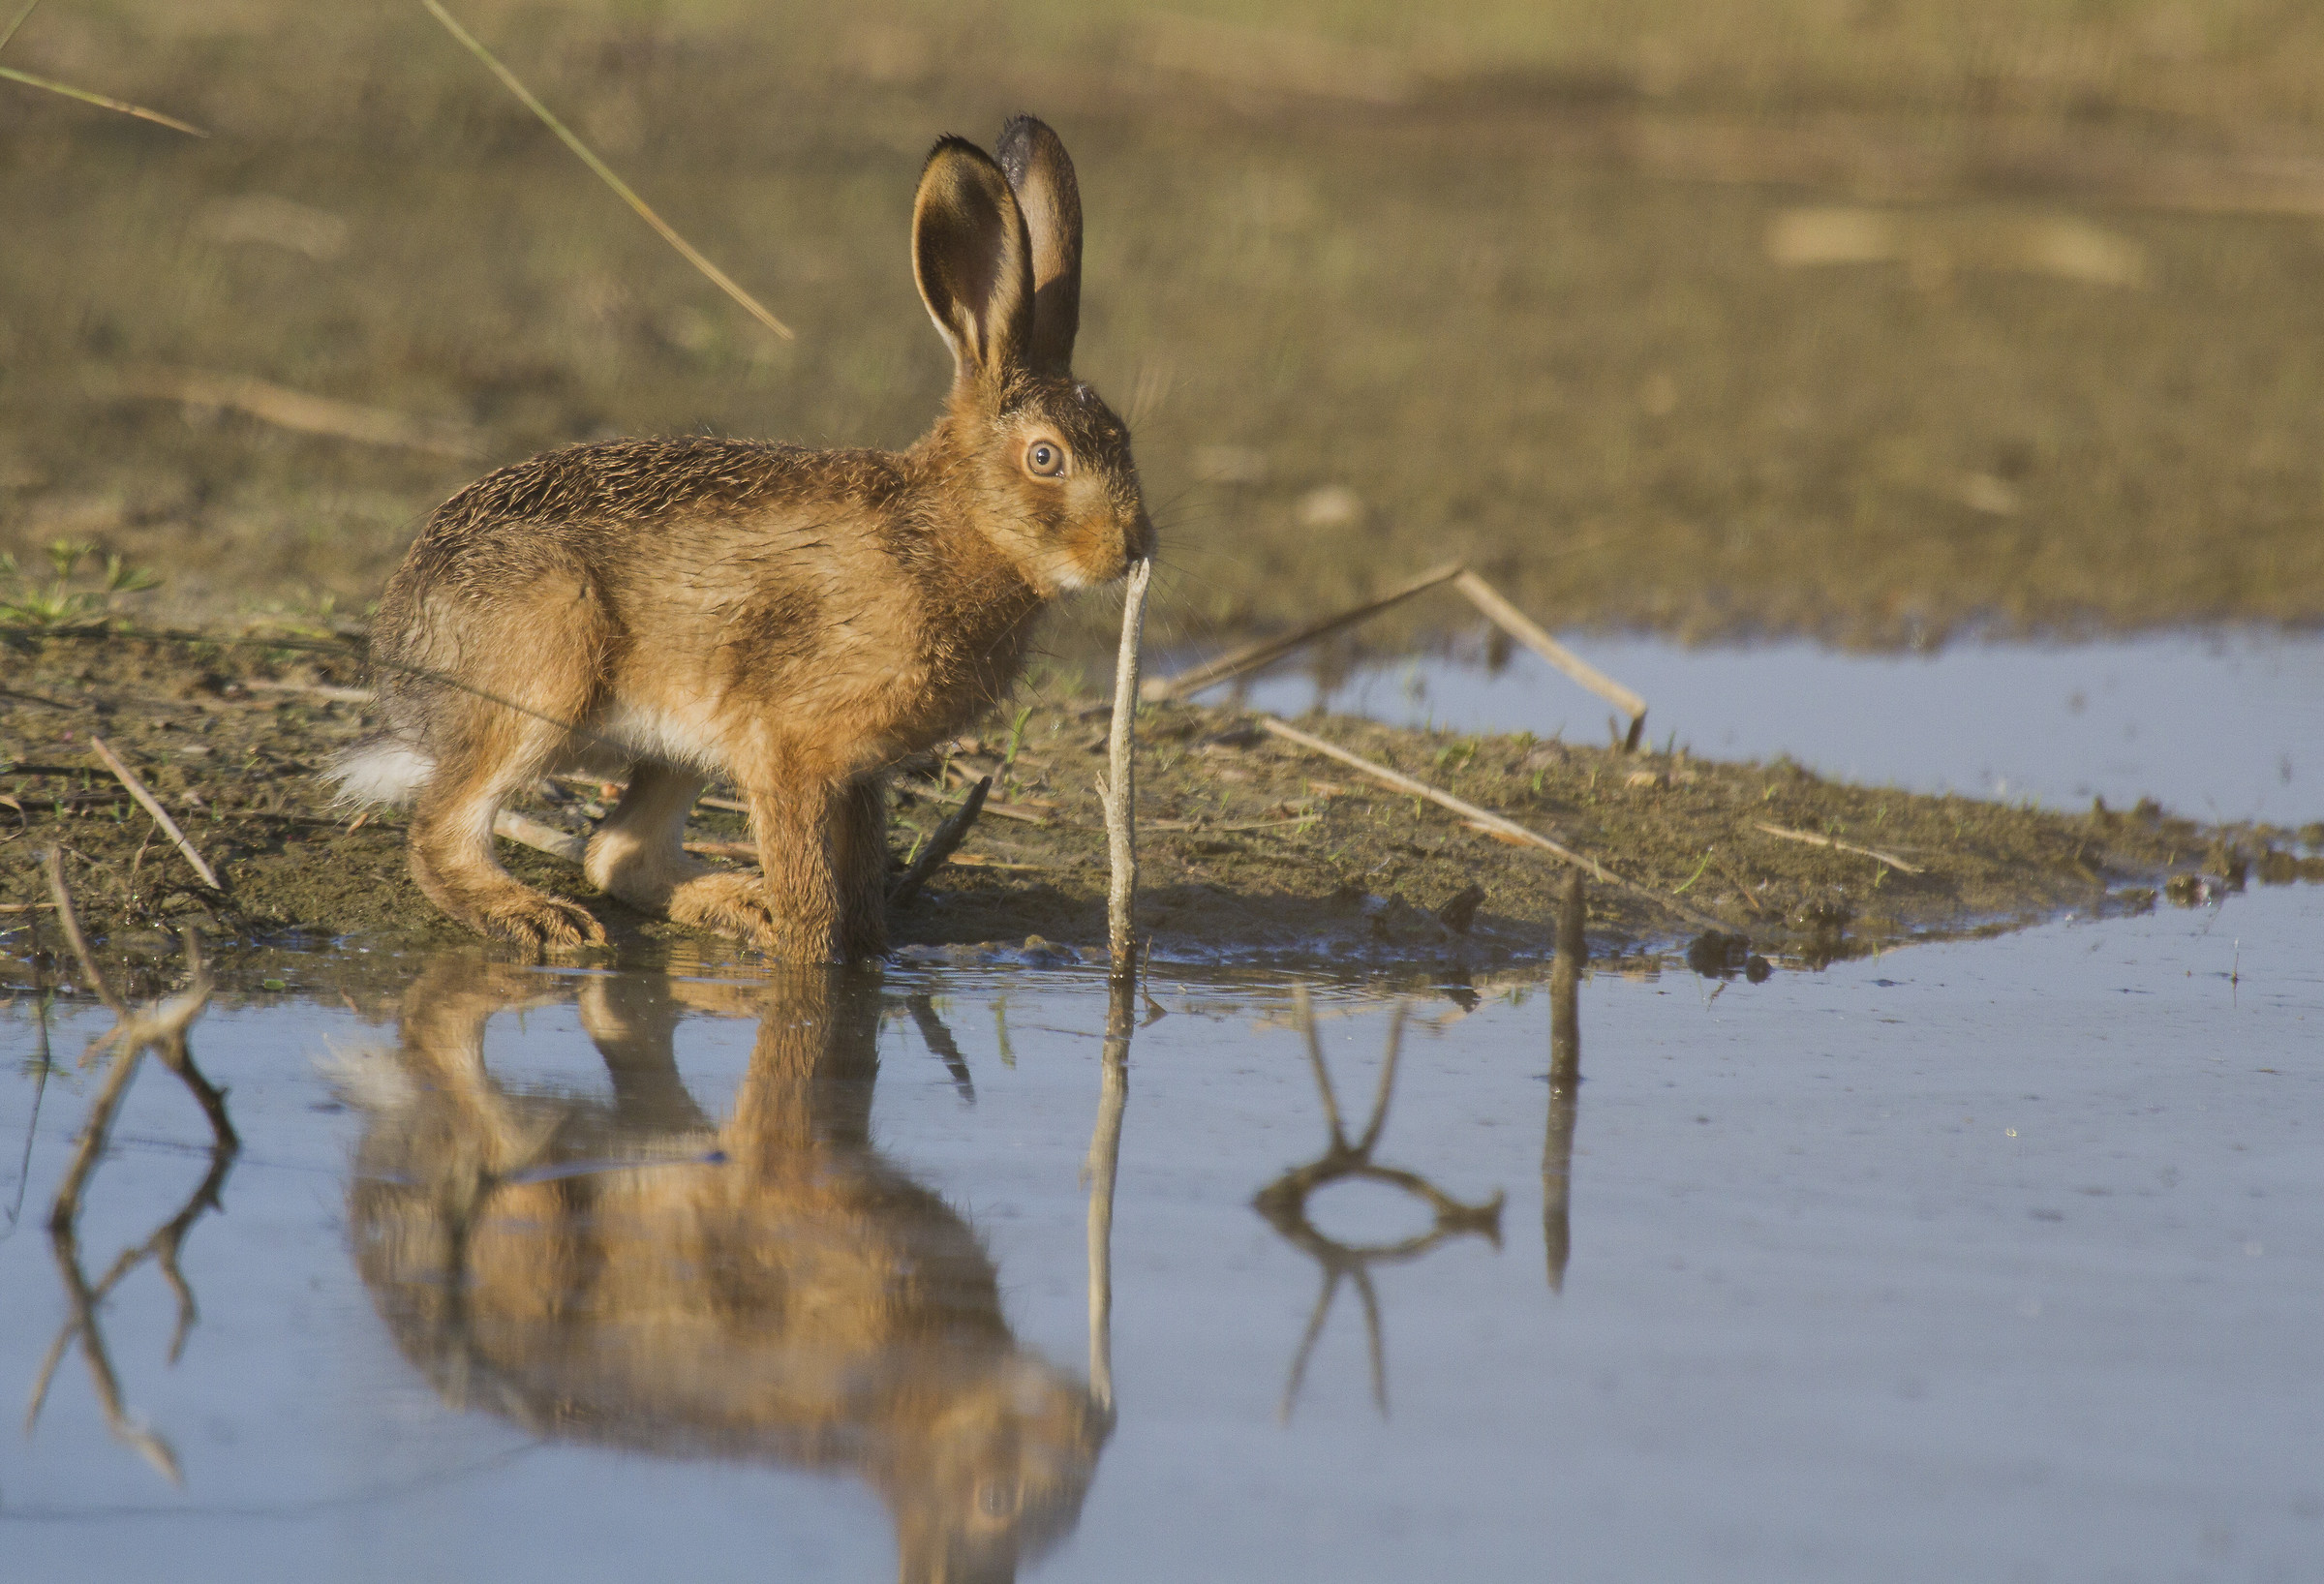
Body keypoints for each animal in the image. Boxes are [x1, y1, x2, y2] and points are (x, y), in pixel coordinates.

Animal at [332, 117, 1151, 960]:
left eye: (1123, 439)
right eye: (1046, 458)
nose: (1131, 545)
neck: (948, 525)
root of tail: (403, 646)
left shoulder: (857, 773)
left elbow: (862, 894)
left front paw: (870, 960)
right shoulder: (786, 751)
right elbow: (816, 901)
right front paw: (809, 965)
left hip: (675, 740)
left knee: (619, 852)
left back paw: (735, 906)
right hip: (544, 671)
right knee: (444, 831)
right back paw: (539, 918)